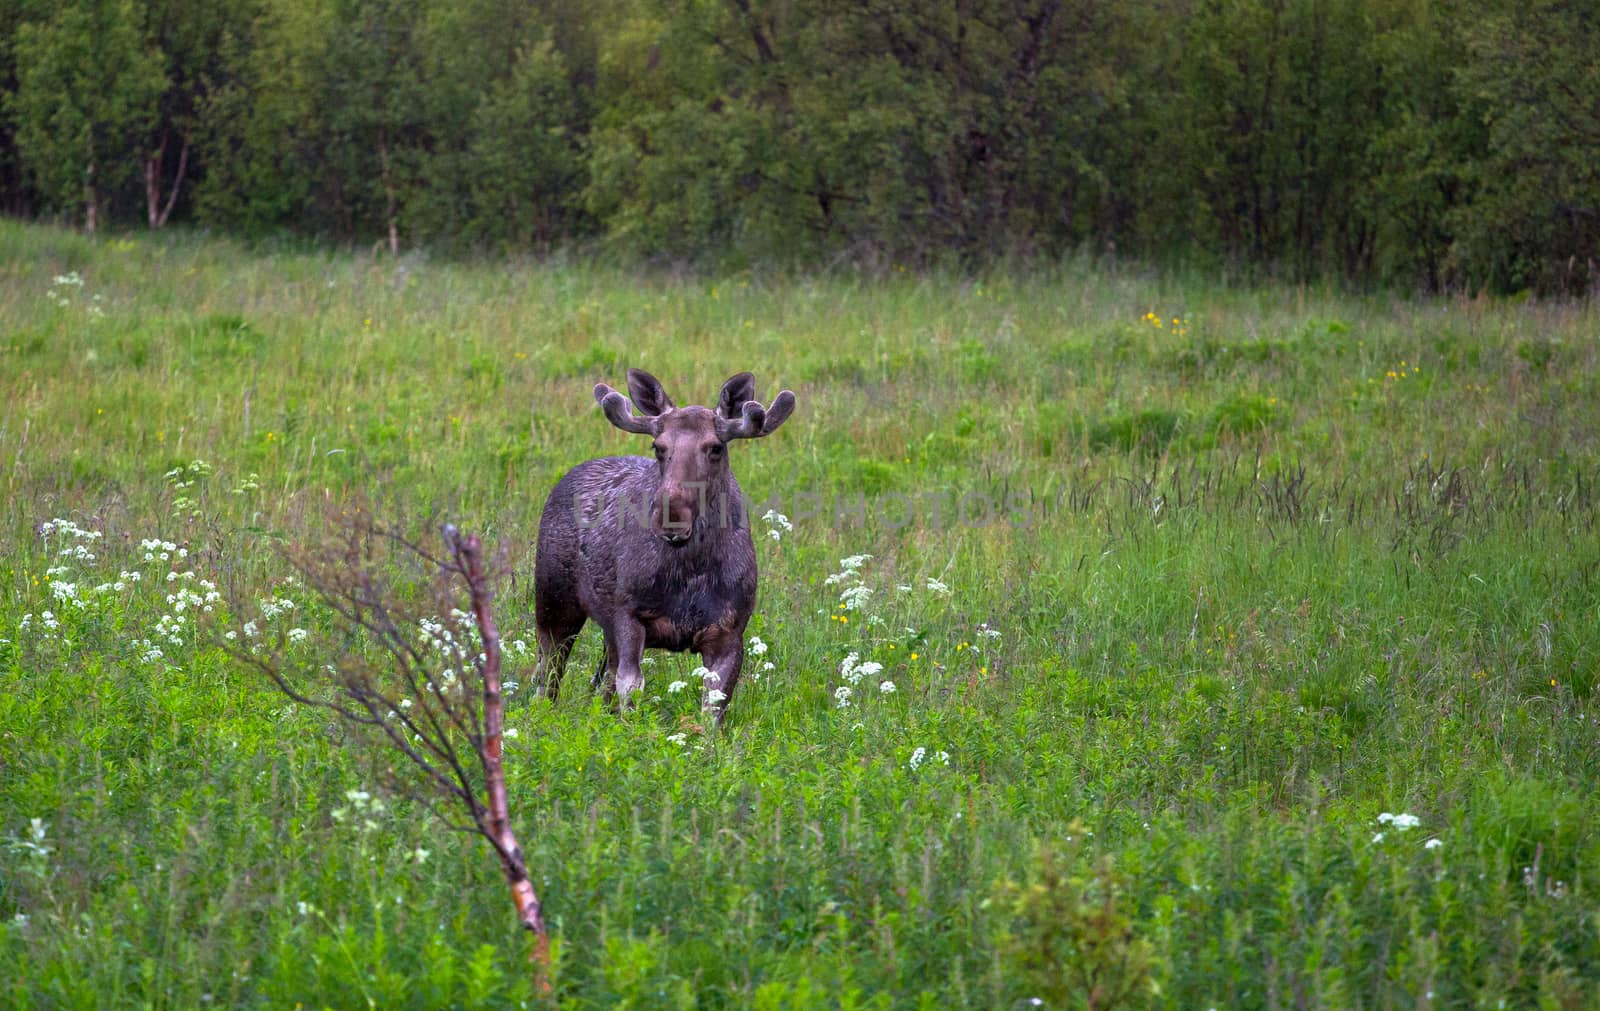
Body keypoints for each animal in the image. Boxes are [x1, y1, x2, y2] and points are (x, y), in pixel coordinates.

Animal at [531, 367, 793, 723]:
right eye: (658, 446)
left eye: (715, 448)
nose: (671, 517)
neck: (690, 569)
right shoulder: (628, 615)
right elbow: (631, 689)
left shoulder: (730, 631)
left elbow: (712, 709)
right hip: (553, 602)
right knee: (547, 675)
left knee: (600, 685)